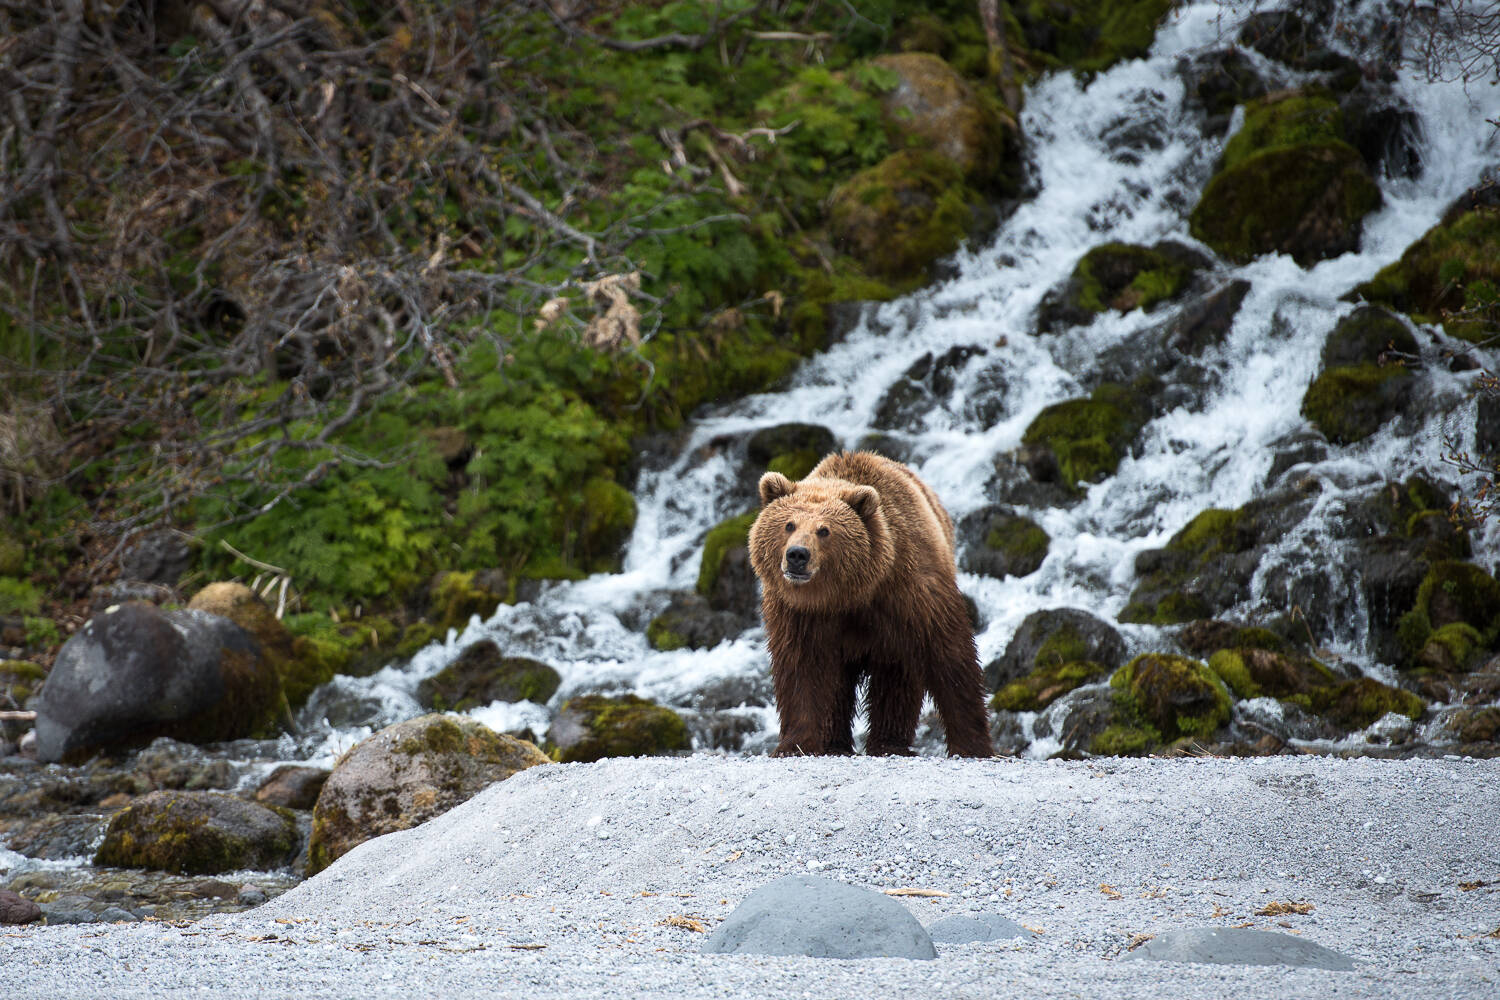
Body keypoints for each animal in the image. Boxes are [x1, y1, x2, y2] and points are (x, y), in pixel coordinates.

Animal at [750, 449, 996, 755]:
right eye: (789, 524)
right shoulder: (800, 614)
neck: (847, 595)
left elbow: (949, 656)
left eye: (824, 530)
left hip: (894, 638)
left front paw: (973, 745)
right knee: (839, 686)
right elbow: (801, 670)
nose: (797, 555)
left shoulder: (909, 593)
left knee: (896, 681)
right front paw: (795, 744)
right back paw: (836, 742)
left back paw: (889, 743)